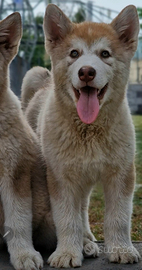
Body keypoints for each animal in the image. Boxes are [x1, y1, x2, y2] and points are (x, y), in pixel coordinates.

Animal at [21, 3, 140, 268]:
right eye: (74, 53)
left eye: (105, 54)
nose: (86, 72)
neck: (90, 131)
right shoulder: (61, 178)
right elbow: (67, 219)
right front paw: (67, 252)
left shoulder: (121, 173)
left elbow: (119, 218)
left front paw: (122, 249)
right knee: (79, 211)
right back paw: (83, 241)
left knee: (84, 207)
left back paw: (87, 240)